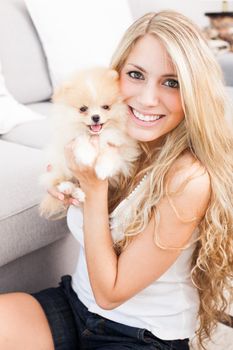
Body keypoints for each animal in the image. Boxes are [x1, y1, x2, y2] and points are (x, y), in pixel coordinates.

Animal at [39, 66, 140, 217]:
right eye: (83, 109)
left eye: (106, 107)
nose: (96, 117)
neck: (97, 136)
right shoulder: (70, 138)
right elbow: (81, 139)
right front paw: (87, 156)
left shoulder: (123, 149)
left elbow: (110, 155)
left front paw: (103, 169)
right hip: (59, 166)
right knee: (58, 181)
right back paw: (67, 188)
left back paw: (77, 193)